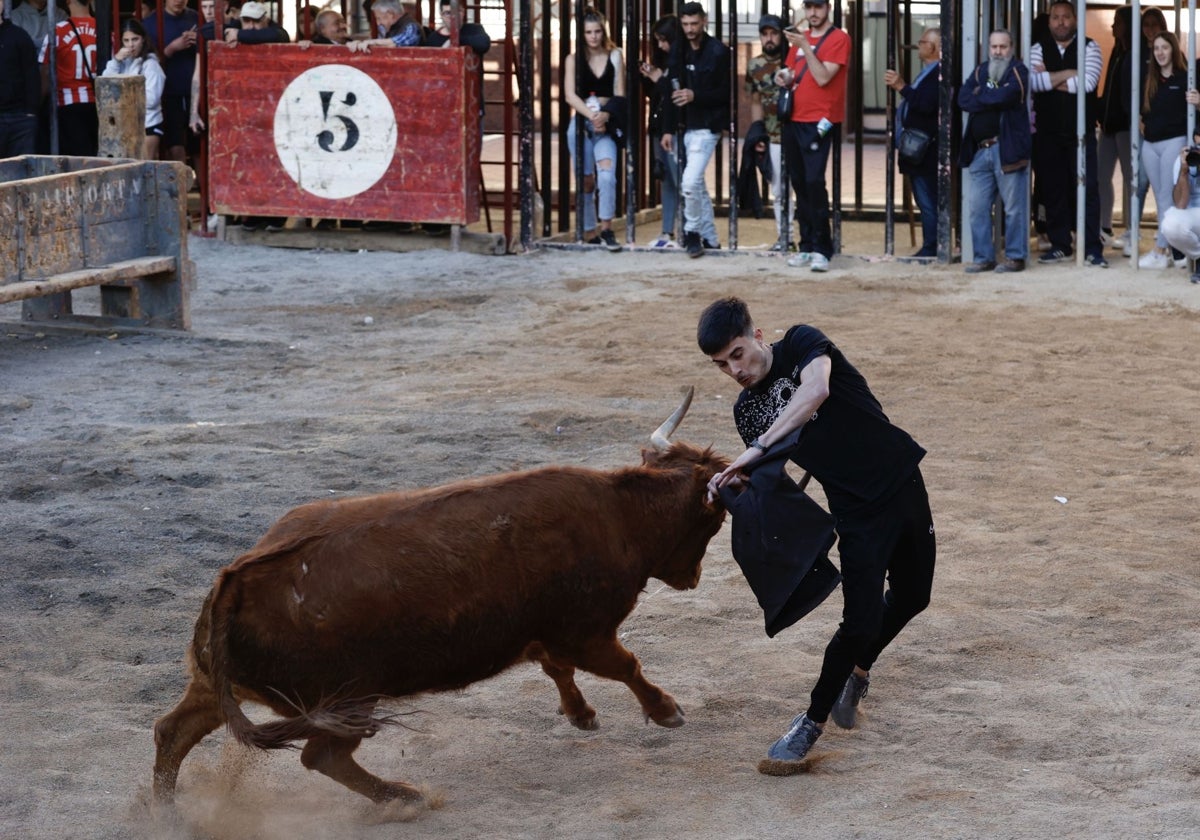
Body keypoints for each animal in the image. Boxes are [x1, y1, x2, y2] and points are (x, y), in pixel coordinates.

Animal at [150, 391, 729, 801]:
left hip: (220, 685)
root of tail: (235, 577)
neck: (620, 513)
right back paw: (404, 798)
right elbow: (626, 666)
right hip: (349, 698)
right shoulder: (586, 635)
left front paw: (581, 715)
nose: (694, 578)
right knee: (321, 757)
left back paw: (164, 812)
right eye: (715, 519)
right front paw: (666, 711)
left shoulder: (547, 635)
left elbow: (556, 669)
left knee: (171, 732)